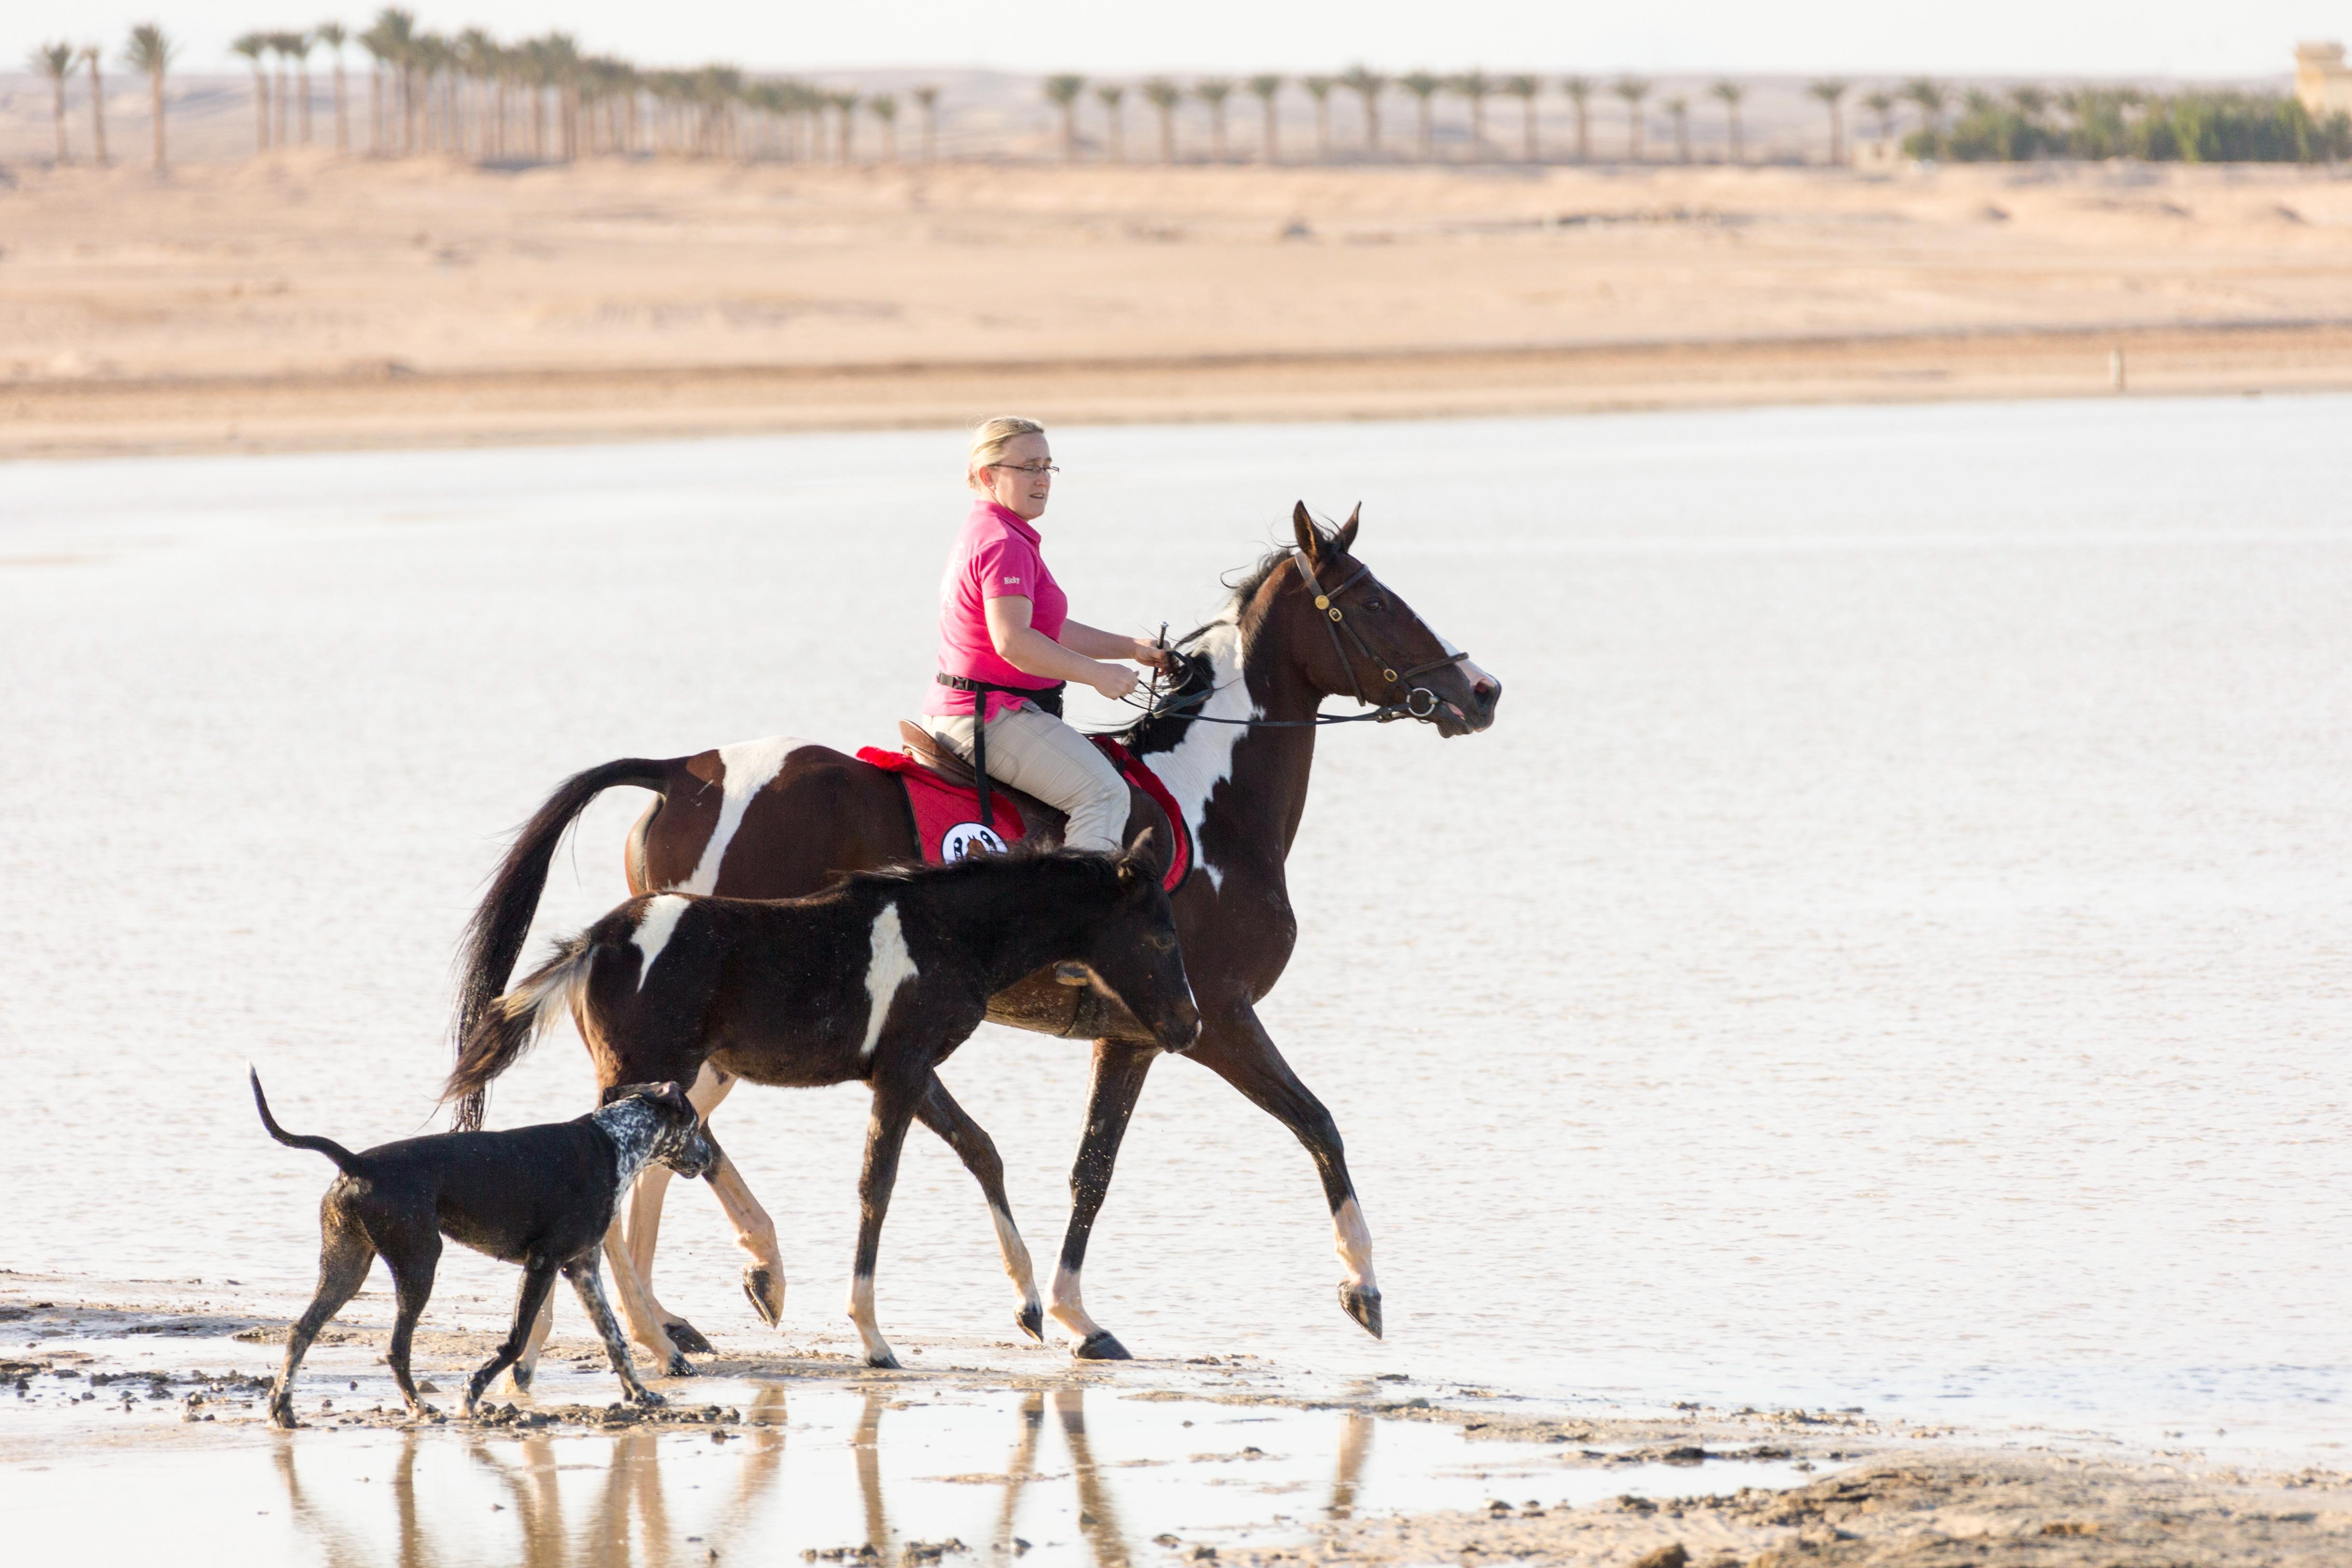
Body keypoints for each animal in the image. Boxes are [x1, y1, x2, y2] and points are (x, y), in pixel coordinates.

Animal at [449, 838, 1197, 1369]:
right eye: (1161, 936)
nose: (1188, 1026)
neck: (947, 930)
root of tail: (594, 942)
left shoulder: (910, 1069)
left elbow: (982, 1149)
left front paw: (1030, 1305)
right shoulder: (900, 1070)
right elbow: (877, 1185)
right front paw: (872, 1336)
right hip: (648, 1069)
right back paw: (650, 1343)